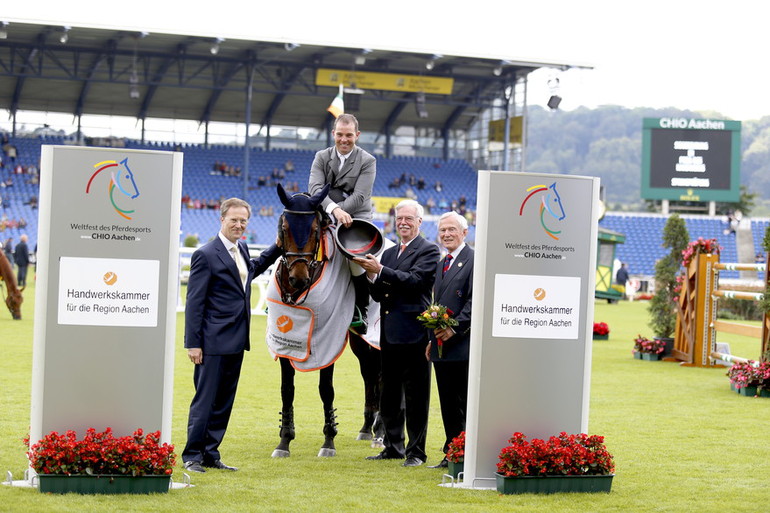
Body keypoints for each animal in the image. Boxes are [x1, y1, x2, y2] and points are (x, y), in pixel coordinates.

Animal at [264, 183, 354, 456]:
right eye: (284, 228)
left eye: (315, 230)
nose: (298, 278)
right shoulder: (284, 343)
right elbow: (287, 390)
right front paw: (284, 440)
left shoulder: (329, 339)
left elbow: (326, 389)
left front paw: (329, 441)